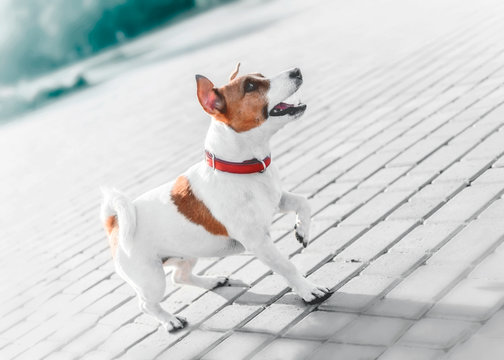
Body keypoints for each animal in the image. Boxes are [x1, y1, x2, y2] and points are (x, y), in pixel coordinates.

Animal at [100, 63, 332, 330]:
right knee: (146, 304)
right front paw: (308, 291)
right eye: (250, 86)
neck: (240, 168)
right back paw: (170, 321)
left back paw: (213, 281)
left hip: (188, 254)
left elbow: (304, 202)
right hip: (151, 278)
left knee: (180, 276)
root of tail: (114, 222)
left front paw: (302, 231)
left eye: (261, 76)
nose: (296, 70)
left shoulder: (278, 199)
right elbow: (287, 266)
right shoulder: (259, 242)